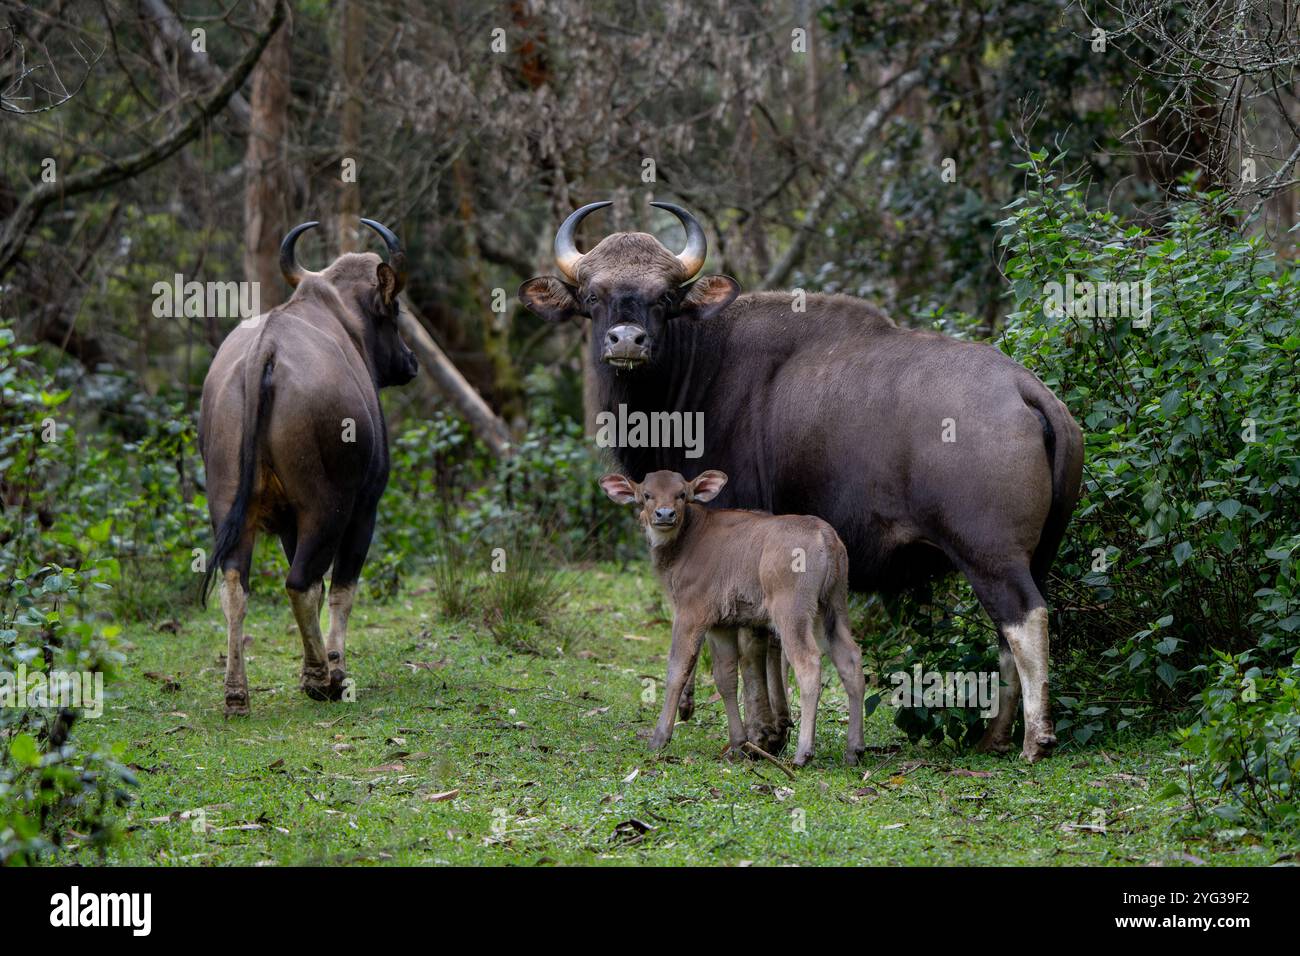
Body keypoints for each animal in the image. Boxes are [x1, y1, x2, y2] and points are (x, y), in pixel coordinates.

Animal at [197, 218, 416, 712]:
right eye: (395, 312)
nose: (411, 361)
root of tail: (266, 352)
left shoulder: (285, 522)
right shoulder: (365, 508)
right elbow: (339, 591)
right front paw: (332, 667)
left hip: (228, 503)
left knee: (236, 584)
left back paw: (236, 692)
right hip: (327, 506)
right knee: (299, 582)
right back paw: (323, 679)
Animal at [598, 468, 863, 764]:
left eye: (682, 494)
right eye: (647, 494)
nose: (665, 514)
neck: (683, 547)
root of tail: (825, 537)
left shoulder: (692, 612)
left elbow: (676, 670)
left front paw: (659, 738)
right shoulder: (721, 624)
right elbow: (725, 678)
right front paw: (738, 743)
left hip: (792, 608)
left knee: (808, 663)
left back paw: (803, 752)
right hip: (832, 605)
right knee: (850, 659)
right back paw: (854, 749)